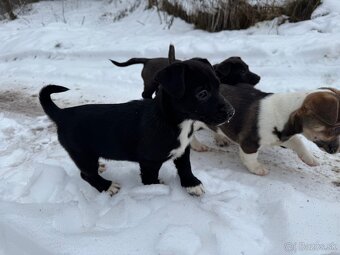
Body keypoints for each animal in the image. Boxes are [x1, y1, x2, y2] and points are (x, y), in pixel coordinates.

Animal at [38, 58, 232, 196]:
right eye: (202, 93)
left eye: (219, 87)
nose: (232, 112)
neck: (174, 120)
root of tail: (62, 114)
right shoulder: (149, 162)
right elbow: (150, 179)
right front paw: (155, 190)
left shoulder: (183, 149)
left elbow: (185, 166)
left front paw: (191, 184)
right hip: (82, 152)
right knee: (86, 175)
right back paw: (107, 186)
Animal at [110, 47, 258, 99]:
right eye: (242, 71)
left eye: (248, 67)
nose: (259, 78)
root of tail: (148, 60)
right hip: (150, 83)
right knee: (145, 94)